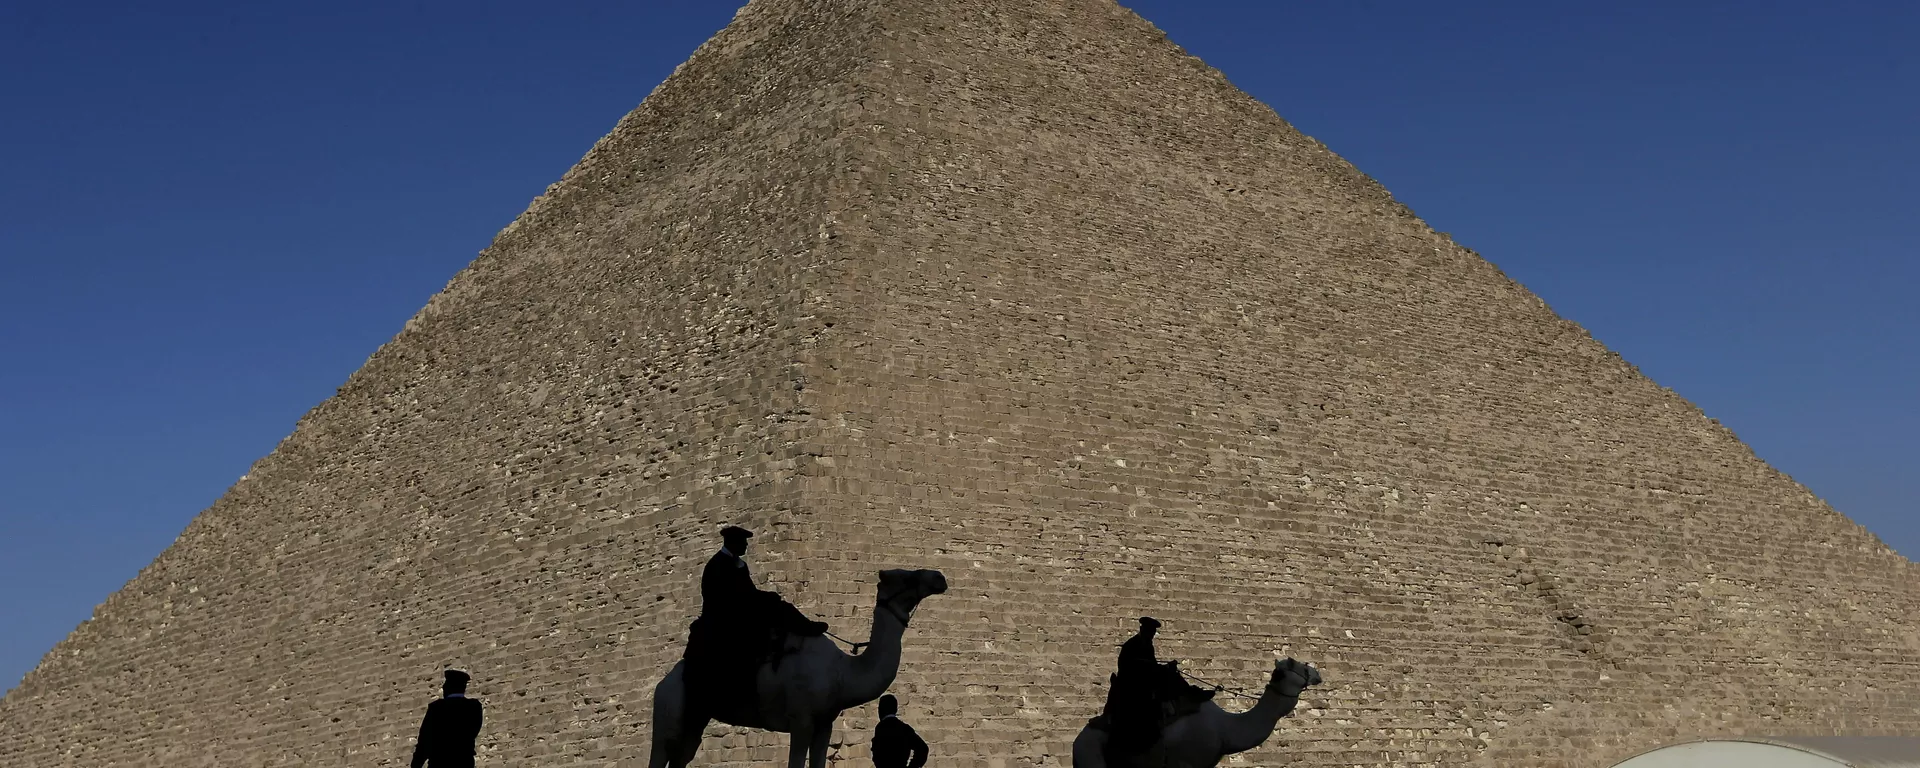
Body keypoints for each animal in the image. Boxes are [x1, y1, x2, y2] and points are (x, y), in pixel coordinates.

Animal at [648, 568, 948, 764]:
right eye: (906, 577)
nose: (939, 577)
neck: (844, 673)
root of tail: (663, 682)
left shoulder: (824, 724)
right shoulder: (800, 720)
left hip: (696, 719)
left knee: (682, 756)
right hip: (669, 713)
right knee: (660, 753)